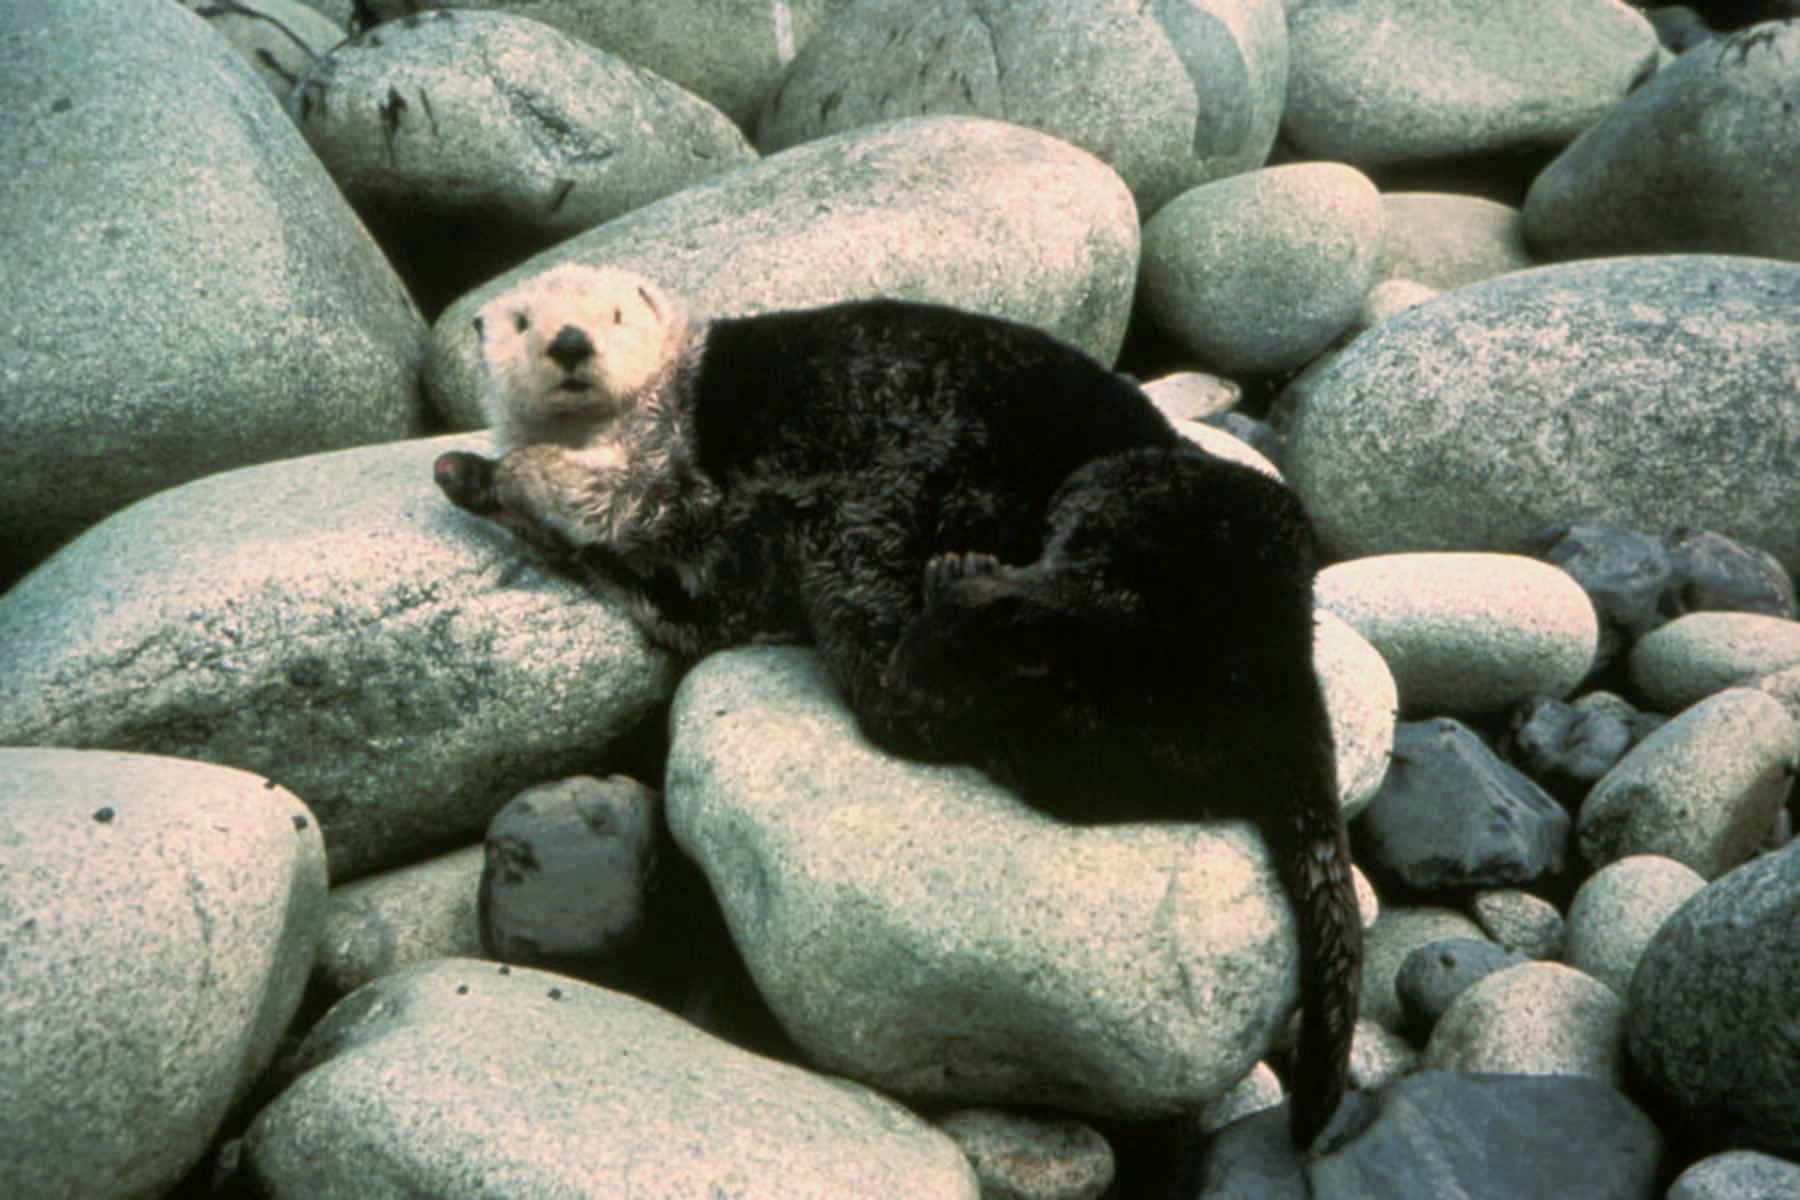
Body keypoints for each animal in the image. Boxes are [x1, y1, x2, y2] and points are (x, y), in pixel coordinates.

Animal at [434, 264, 1360, 1150]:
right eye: (523, 321)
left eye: (617, 315)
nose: (570, 342)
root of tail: (1286, 686)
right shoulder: (686, 586)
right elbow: (640, 570)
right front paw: (466, 472)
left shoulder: (671, 463)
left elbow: (625, 493)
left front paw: (507, 471)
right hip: (1094, 728)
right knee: (964, 709)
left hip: (1142, 494)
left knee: (1048, 595)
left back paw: (960, 582)